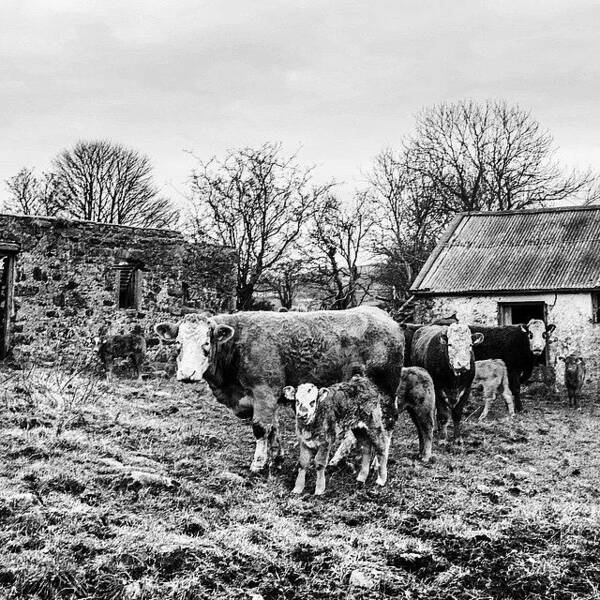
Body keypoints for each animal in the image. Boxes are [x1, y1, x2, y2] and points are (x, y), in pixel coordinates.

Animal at [155, 310, 404, 474]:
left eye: (206, 343)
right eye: (178, 343)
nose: (187, 374)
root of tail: (382, 315)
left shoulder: (264, 391)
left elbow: (260, 428)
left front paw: (258, 463)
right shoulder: (266, 398)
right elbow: (273, 427)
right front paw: (276, 458)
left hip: (385, 389)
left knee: (389, 421)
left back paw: (377, 462)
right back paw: (337, 459)